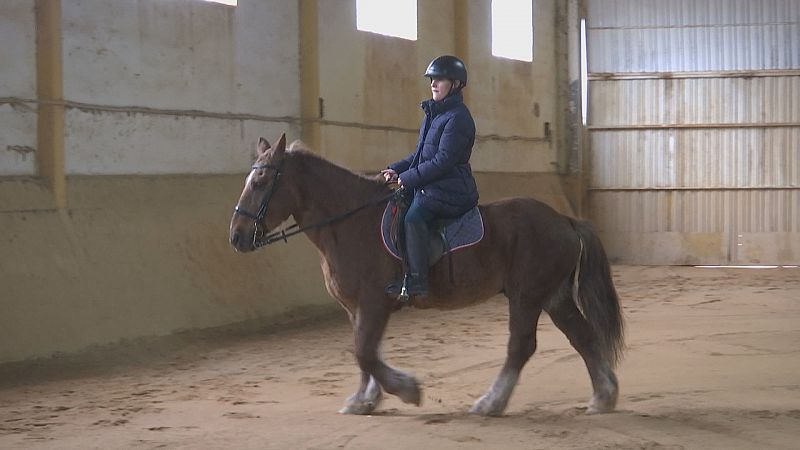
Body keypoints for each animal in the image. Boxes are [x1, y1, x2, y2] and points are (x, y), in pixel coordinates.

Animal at [228, 134, 620, 418]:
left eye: (261, 181)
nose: (236, 237)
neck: (351, 223)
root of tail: (565, 220)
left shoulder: (374, 302)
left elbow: (364, 352)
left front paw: (407, 390)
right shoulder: (358, 307)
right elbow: (366, 352)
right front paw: (364, 400)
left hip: (527, 295)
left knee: (521, 346)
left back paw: (491, 403)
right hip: (553, 295)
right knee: (582, 336)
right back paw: (603, 396)